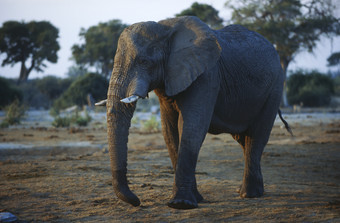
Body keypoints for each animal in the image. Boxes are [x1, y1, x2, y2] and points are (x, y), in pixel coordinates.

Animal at [101, 15, 292, 209]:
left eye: (144, 61)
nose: (137, 201)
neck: (166, 28)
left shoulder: (207, 75)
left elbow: (192, 126)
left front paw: (181, 204)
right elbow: (169, 131)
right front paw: (196, 199)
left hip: (275, 87)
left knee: (256, 136)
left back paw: (249, 194)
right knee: (244, 140)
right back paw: (249, 191)